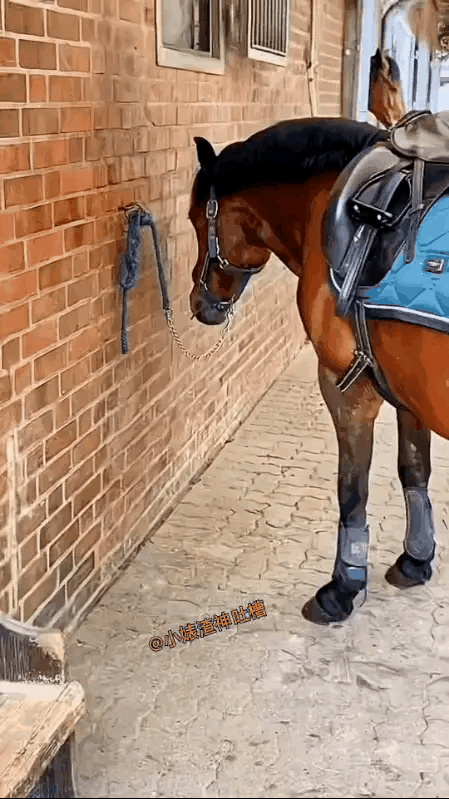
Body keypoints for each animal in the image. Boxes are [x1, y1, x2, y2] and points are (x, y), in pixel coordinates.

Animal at [187, 115, 449, 625]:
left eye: (193, 220)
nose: (198, 302)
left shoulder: (347, 387)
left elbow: (352, 491)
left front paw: (342, 589)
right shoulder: (408, 390)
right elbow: (414, 470)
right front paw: (415, 559)